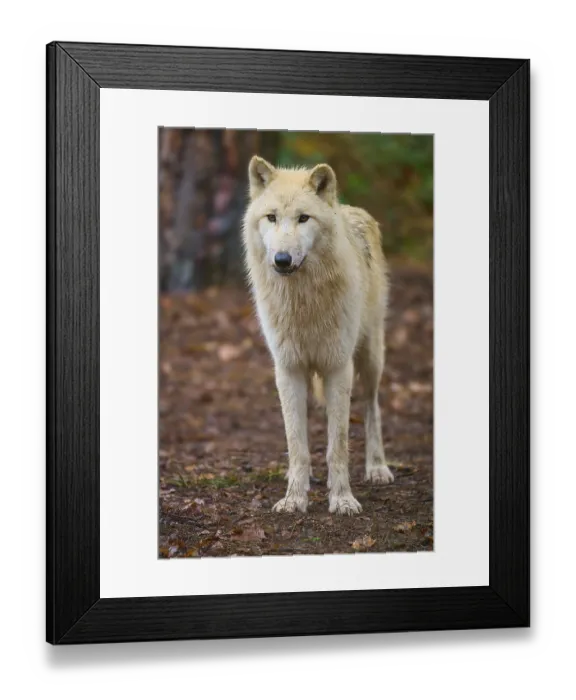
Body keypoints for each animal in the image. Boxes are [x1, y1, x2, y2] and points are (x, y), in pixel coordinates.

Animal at [242, 156, 394, 515]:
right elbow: (297, 443)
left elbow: (337, 445)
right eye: (271, 217)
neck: (303, 301)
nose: (282, 259)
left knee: (373, 407)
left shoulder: (339, 368)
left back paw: (377, 467)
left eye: (303, 218)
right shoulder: (288, 369)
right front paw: (294, 499)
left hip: (370, 358)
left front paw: (342, 499)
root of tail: (352, 209)